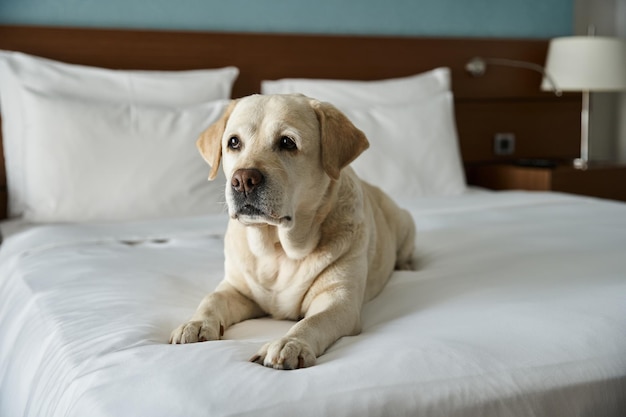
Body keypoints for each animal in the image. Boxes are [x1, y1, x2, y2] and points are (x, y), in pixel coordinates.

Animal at [171, 93, 414, 368]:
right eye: (233, 142)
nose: (242, 180)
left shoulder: (338, 300)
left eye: (287, 142)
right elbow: (212, 299)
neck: (278, 248)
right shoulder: (237, 289)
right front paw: (196, 323)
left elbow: (313, 321)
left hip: (405, 221)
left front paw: (290, 343)